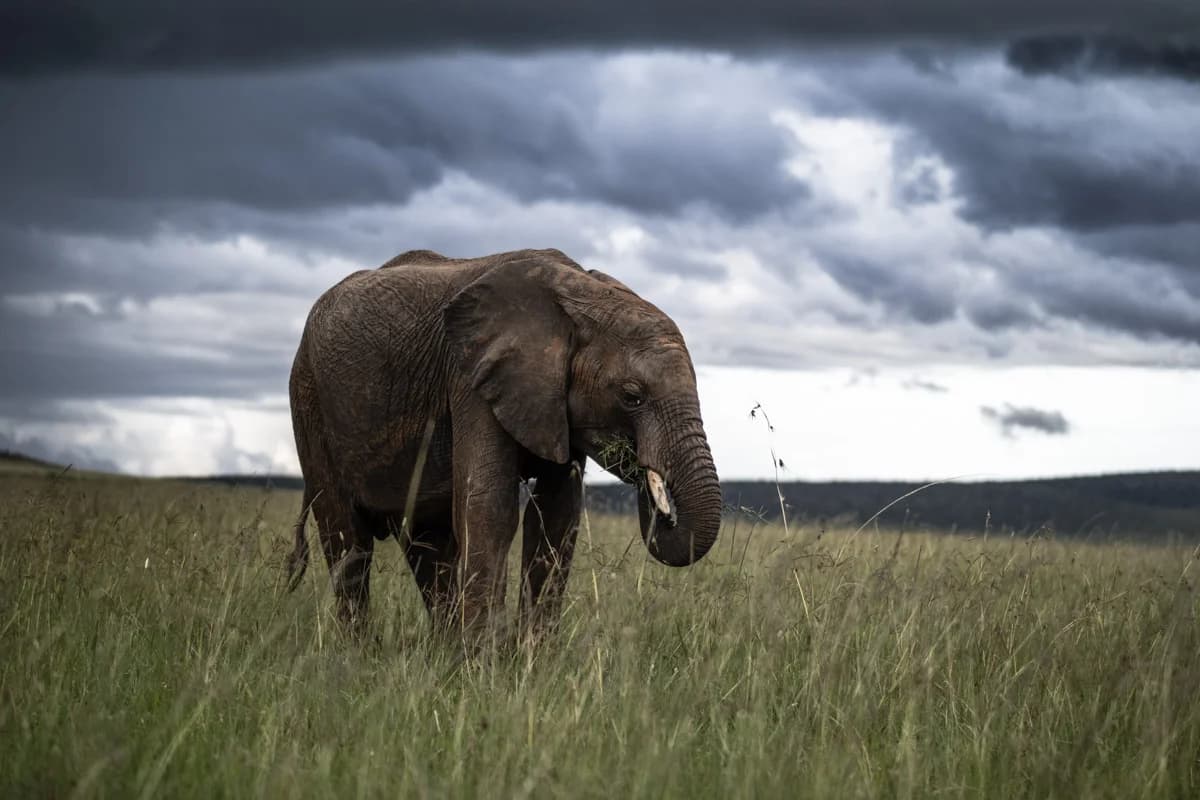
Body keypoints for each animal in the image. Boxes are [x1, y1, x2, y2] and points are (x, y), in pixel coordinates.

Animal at [285, 247, 721, 640]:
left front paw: (530, 662)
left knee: (427, 545)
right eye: (632, 396)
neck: (581, 291)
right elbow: (489, 507)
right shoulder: (470, 378)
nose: (647, 475)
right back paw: (359, 656)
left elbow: (557, 516)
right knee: (347, 542)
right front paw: (485, 668)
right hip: (308, 397)